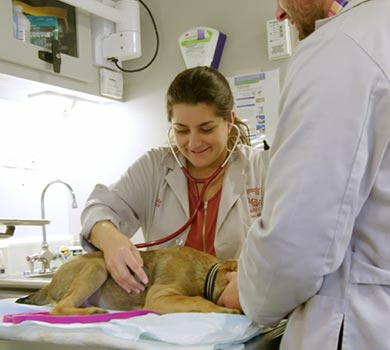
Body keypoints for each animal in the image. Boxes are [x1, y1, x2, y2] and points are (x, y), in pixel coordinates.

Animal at [16, 245, 242, 316]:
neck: (209, 273)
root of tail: (49, 284)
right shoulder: (159, 297)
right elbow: (198, 300)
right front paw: (222, 309)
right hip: (98, 266)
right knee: (58, 309)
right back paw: (92, 312)